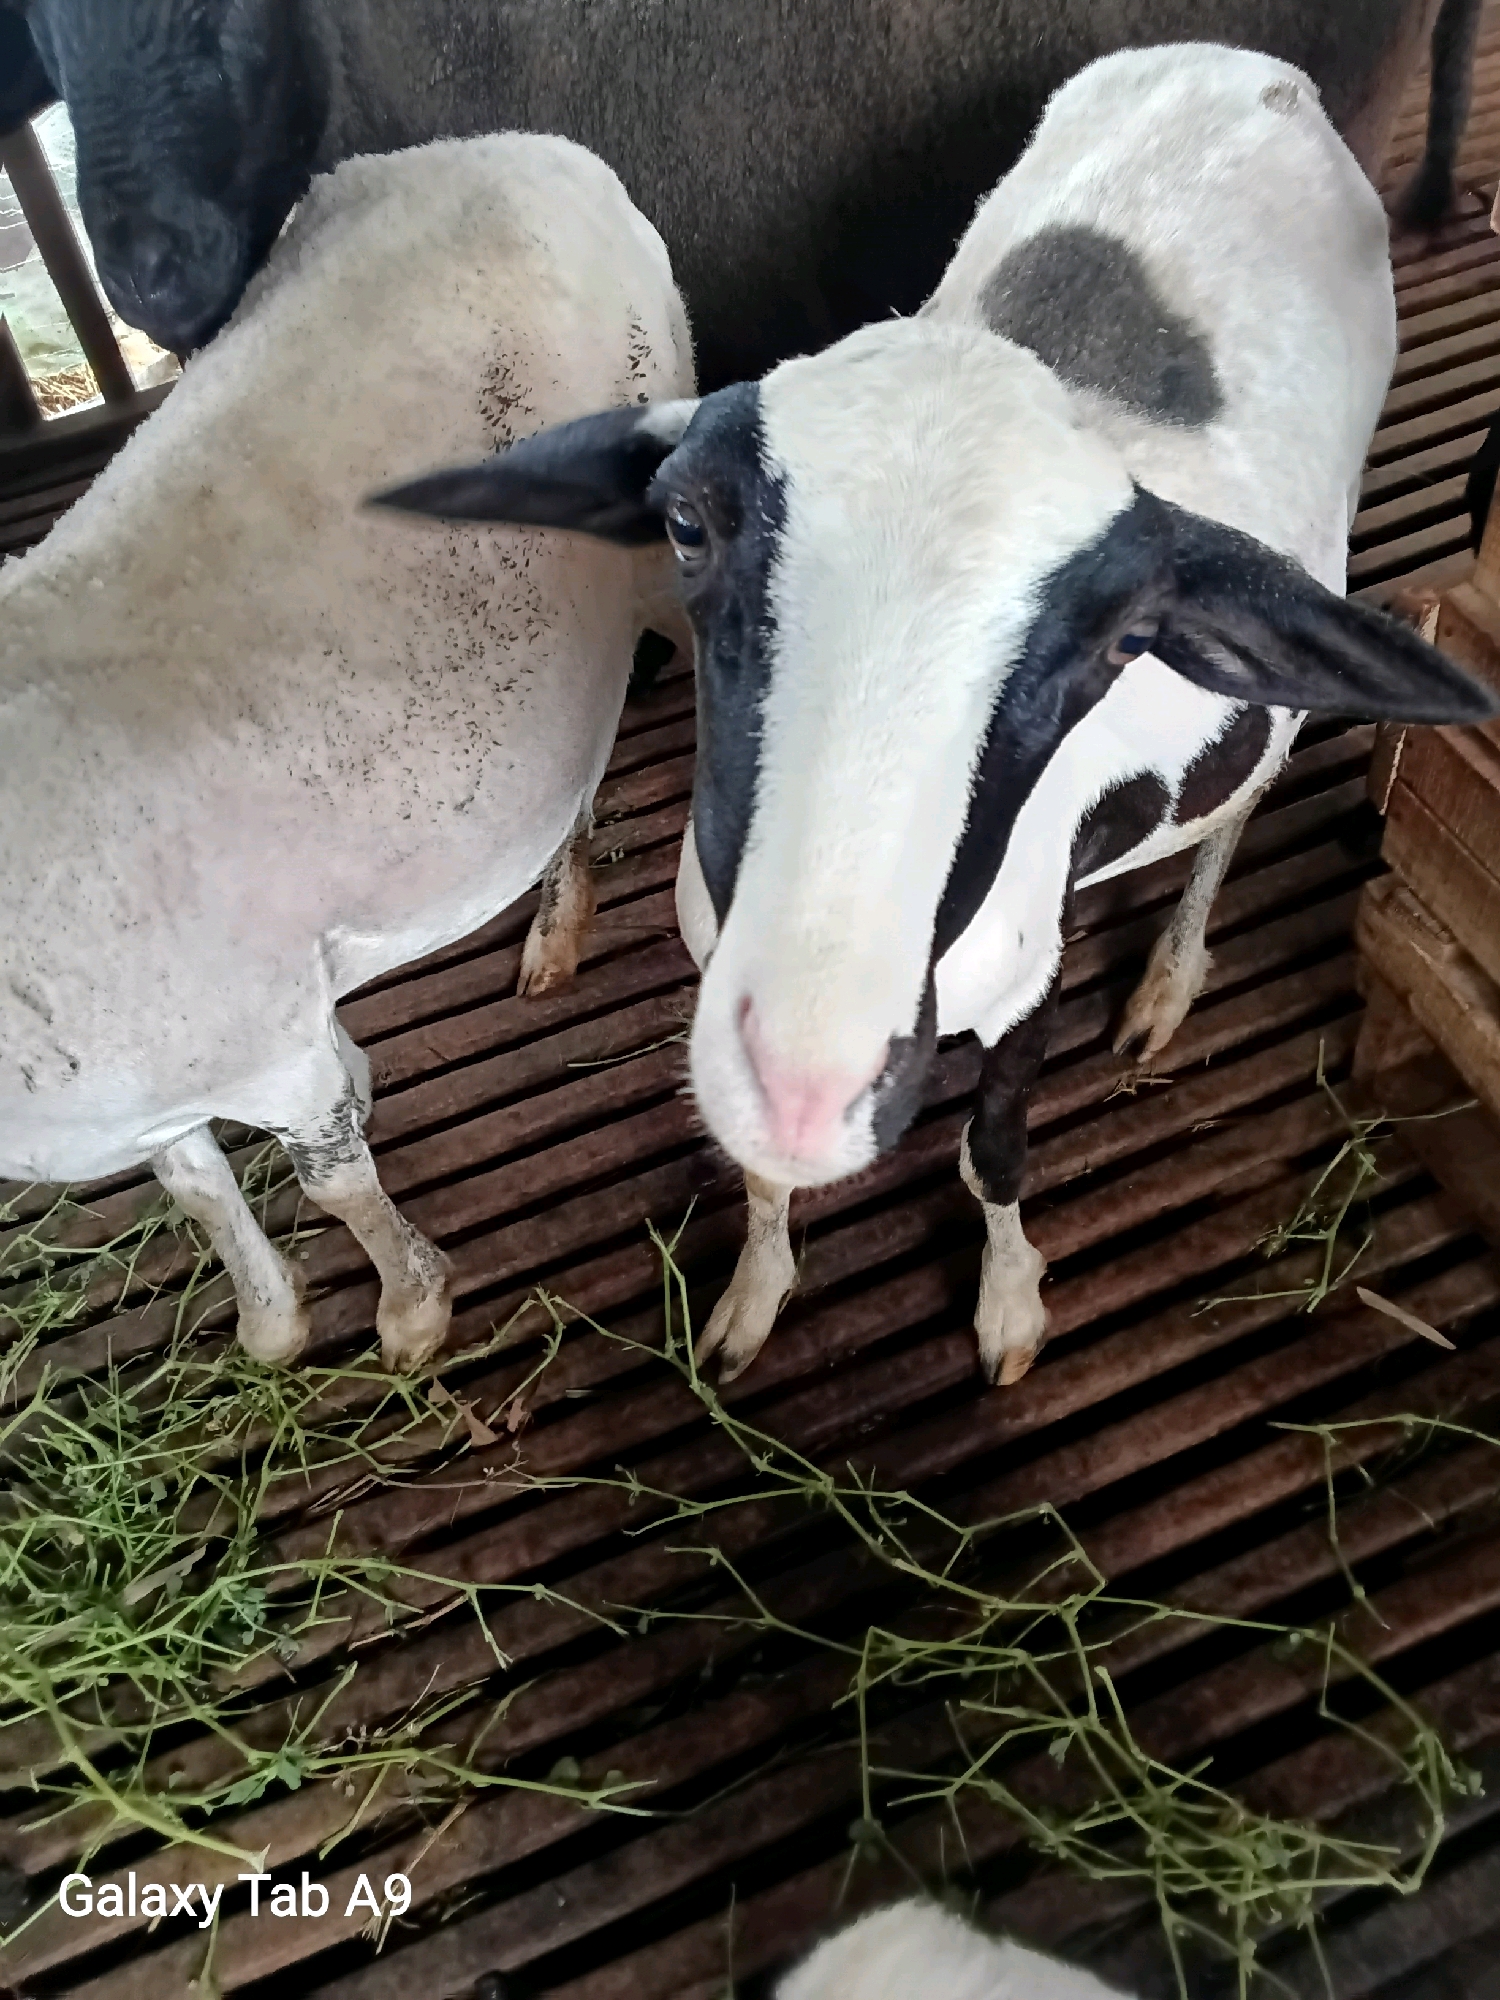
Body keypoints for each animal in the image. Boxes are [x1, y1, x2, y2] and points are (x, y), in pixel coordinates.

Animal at [0, 130, 693, 1373]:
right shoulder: (164, 1079)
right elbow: (197, 1187)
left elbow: (335, 1184)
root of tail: (530, 150)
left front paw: (411, 1309)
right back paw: (557, 924)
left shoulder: (269, 1047)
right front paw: (271, 1319)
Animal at [376, 44, 1497, 1387]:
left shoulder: (1028, 977)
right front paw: (751, 1302)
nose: (808, 1080)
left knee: (1239, 797)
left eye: (1124, 637)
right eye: (686, 523)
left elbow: (992, 1150)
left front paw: (1009, 1307)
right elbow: (760, 1181)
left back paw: (1170, 980)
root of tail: (1246, 67)